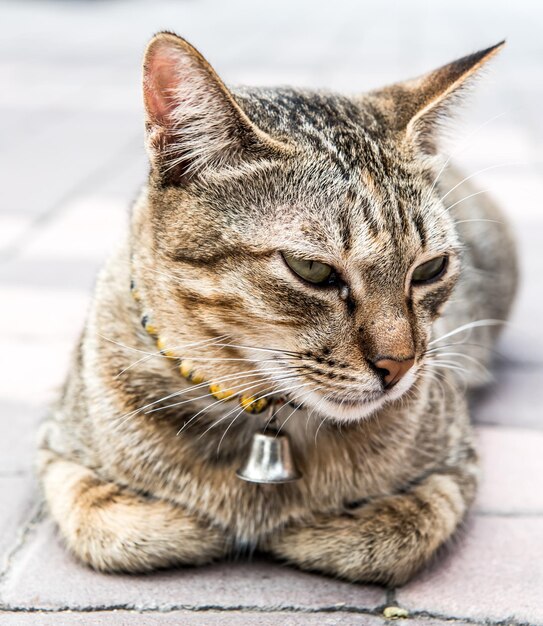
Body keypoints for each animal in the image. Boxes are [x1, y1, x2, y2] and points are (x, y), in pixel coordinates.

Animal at [36, 31, 516, 584]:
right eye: (312, 270)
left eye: (430, 269)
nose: (400, 366)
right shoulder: (57, 450)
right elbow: (113, 525)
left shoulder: (457, 461)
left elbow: (399, 531)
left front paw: (313, 529)